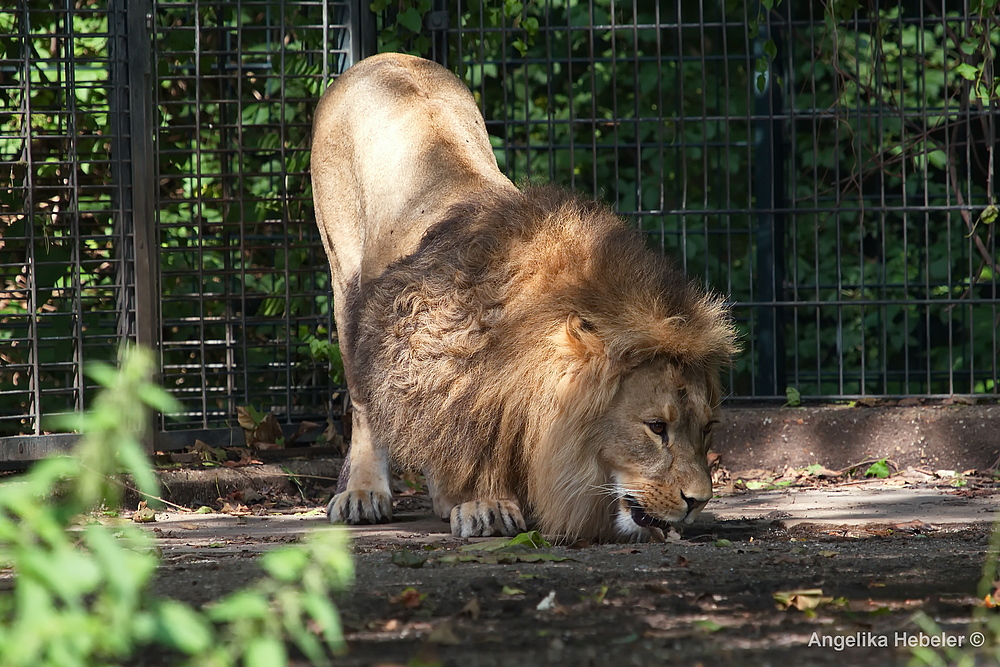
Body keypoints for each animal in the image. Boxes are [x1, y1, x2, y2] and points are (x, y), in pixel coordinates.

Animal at [312, 52, 744, 544]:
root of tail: (382, 58)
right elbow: (473, 434)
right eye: (656, 427)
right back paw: (364, 493)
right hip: (347, 285)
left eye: (707, 428)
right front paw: (486, 504)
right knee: (365, 402)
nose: (699, 503)